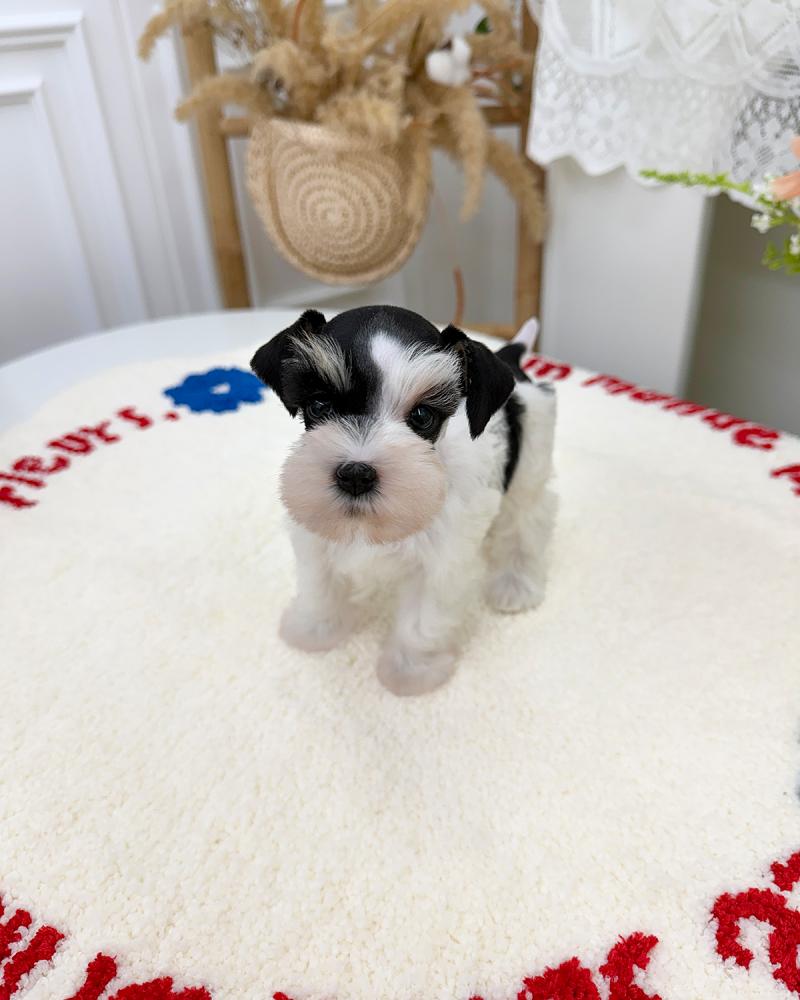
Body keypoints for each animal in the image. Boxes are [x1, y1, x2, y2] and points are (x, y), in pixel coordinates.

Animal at [251, 305, 556, 696]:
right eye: (319, 405)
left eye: (422, 416)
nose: (356, 473)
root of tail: (512, 358)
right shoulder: (316, 537)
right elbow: (318, 586)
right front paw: (314, 631)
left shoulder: (439, 563)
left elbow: (421, 623)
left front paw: (412, 672)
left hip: (530, 464)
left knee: (527, 518)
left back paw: (515, 584)